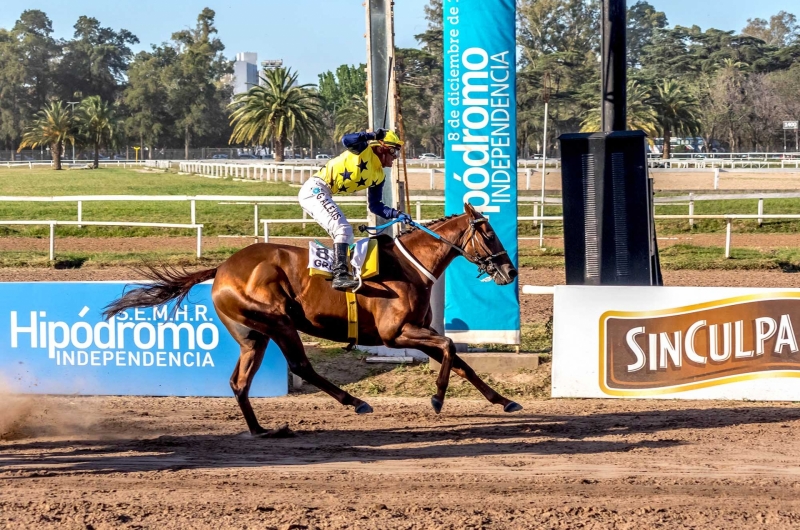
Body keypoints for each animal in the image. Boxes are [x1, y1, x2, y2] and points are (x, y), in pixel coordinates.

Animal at [104, 202, 520, 434]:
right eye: (489, 234)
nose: (510, 271)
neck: (409, 266)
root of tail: (221, 268)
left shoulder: (418, 330)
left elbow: (461, 360)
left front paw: (504, 401)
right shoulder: (396, 333)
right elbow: (450, 346)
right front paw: (436, 398)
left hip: (253, 335)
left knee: (240, 382)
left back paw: (261, 430)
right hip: (278, 321)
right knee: (301, 365)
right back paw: (355, 401)